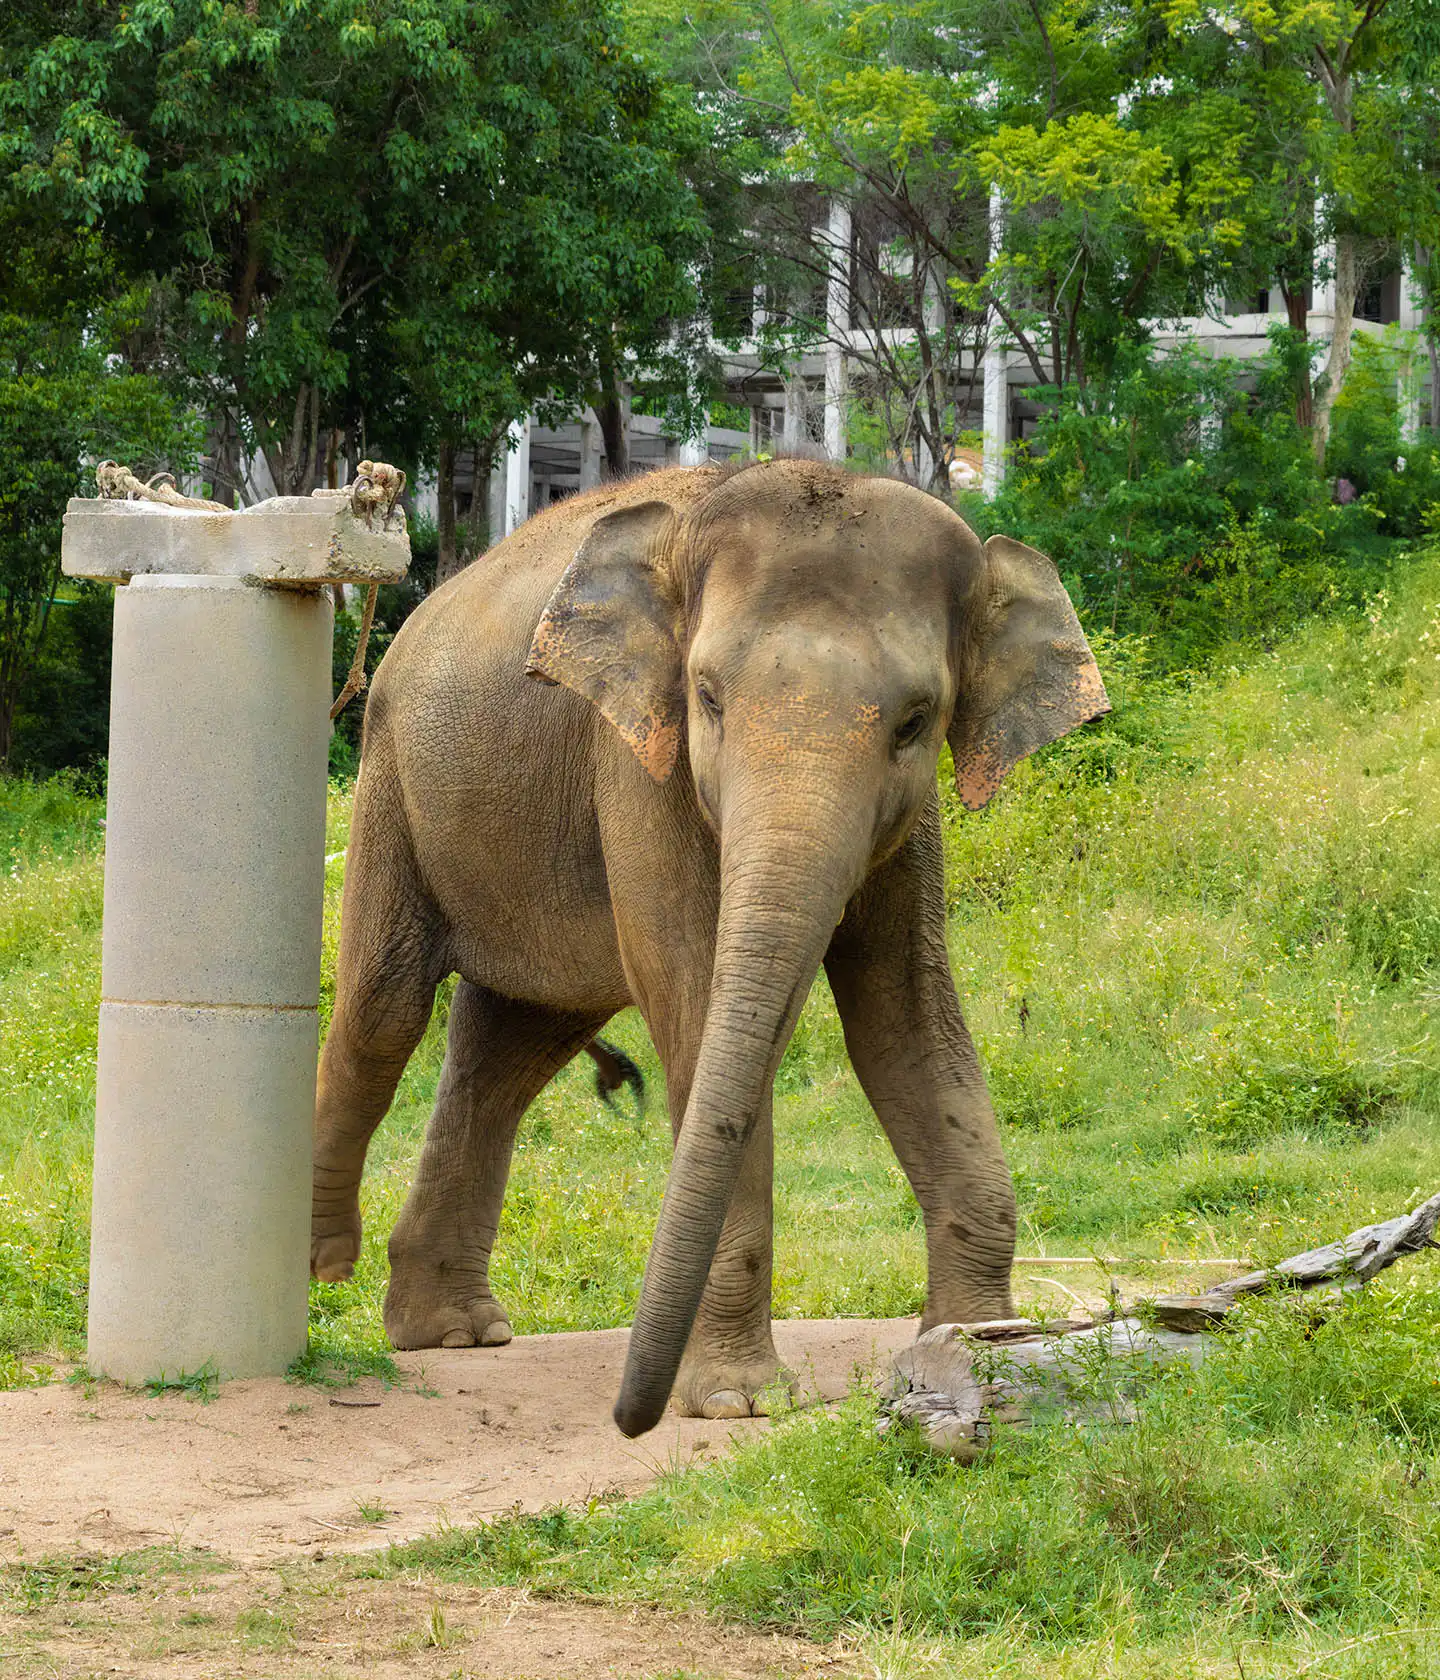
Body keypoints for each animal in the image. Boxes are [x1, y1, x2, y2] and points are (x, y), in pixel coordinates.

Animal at [310, 457, 1108, 1438]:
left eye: (916, 721)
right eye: (709, 697)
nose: (630, 1418)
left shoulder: (908, 820)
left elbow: (906, 1020)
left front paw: (982, 1346)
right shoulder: (635, 761)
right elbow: (691, 1000)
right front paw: (737, 1403)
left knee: (514, 1050)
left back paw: (451, 1331)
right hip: (391, 779)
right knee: (384, 1015)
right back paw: (324, 1269)